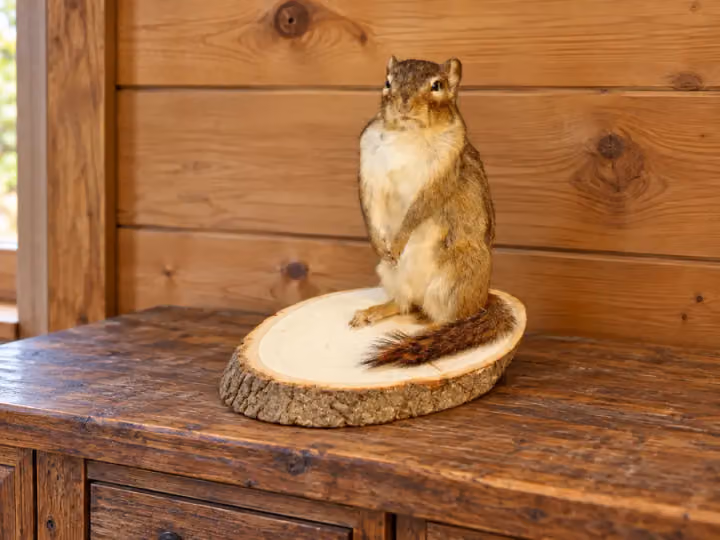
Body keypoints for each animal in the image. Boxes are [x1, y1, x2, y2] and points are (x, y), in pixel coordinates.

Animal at [350, 56, 517, 368]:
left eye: (437, 86)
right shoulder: (369, 167)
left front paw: (399, 239)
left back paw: (434, 330)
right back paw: (374, 311)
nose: (403, 103)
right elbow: (369, 204)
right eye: (388, 81)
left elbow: (421, 206)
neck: (407, 135)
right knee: (404, 305)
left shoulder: (444, 169)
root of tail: (483, 299)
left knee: (453, 318)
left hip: (456, 280)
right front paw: (379, 244)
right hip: (392, 276)